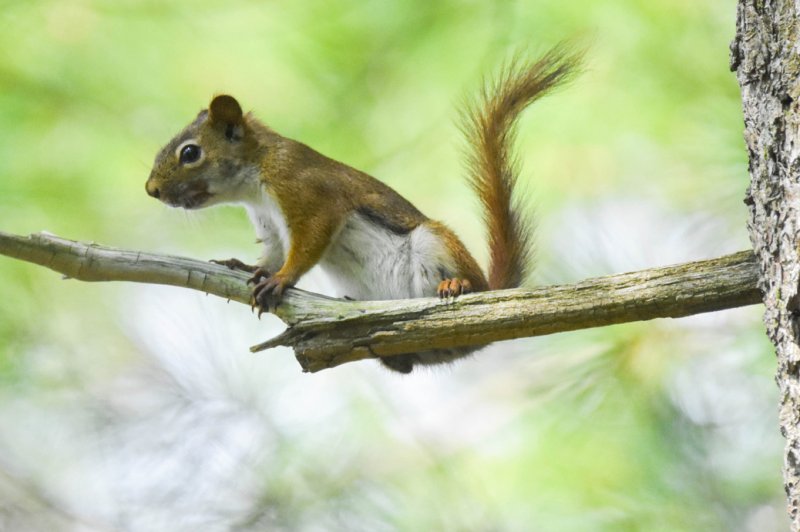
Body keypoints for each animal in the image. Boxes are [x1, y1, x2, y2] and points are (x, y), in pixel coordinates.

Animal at [145, 45, 580, 373]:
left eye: (190, 153)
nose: (151, 190)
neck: (256, 178)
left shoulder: (307, 193)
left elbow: (308, 242)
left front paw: (281, 280)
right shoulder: (269, 224)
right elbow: (272, 252)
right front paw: (248, 267)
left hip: (433, 241)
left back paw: (457, 285)